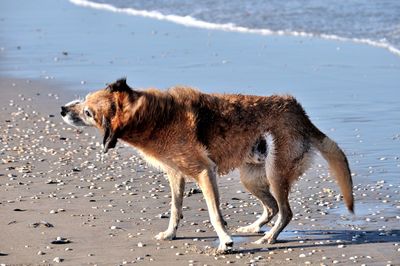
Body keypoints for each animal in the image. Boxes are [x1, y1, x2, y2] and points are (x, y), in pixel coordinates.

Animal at [60, 78, 354, 252]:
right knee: (272, 208)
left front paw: (225, 241)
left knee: (286, 212)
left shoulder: (204, 172)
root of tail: (300, 113)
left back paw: (268, 238)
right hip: (252, 177)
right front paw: (170, 234)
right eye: (84, 100)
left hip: (276, 174)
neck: (153, 118)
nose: (62, 109)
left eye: (88, 112)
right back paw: (254, 229)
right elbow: (175, 210)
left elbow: (214, 214)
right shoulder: (176, 175)